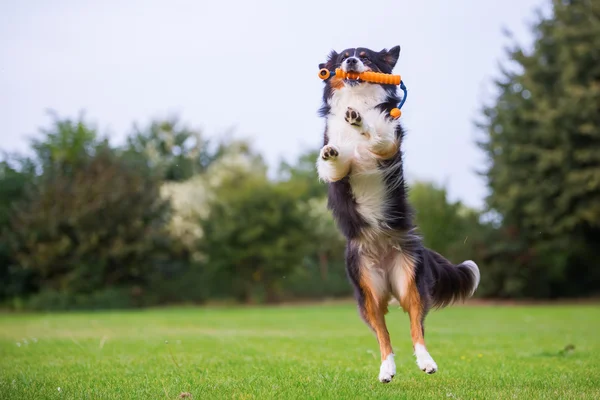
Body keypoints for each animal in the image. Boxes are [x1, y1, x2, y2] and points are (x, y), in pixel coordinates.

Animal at [316, 46, 480, 384]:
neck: (359, 100)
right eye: (344, 56)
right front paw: (332, 150)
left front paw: (360, 122)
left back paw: (426, 362)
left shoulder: (389, 145)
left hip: (410, 283)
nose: (351, 61)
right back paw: (387, 369)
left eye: (365, 55)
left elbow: (378, 135)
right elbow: (333, 162)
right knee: (384, 335)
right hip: (368, 294)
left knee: (416, 327)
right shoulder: (337, 174)